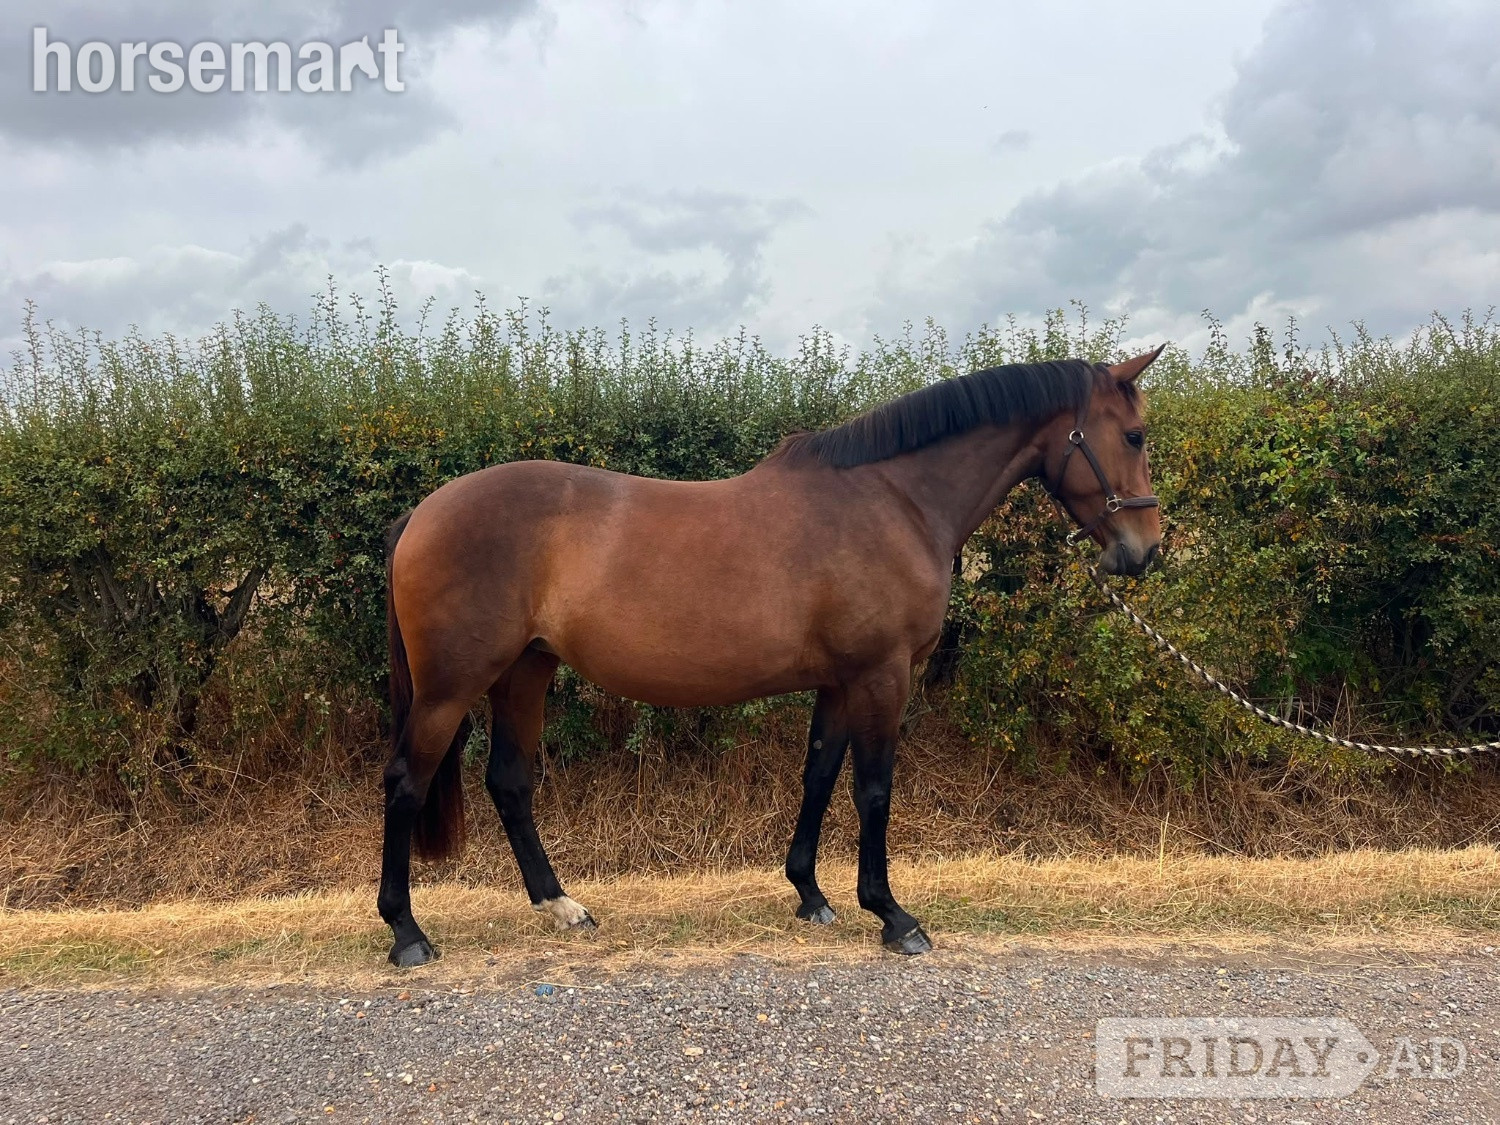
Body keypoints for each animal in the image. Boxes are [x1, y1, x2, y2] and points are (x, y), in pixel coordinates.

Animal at [379, 348, 1164, 967]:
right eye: (1134, 434)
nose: (1145, 551)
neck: (894, 501)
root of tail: (422, 513)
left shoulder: (841, 682)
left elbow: (818, 775)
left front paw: (810, 894)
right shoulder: (882, 675)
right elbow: (873, 789)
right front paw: (893, 916)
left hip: (525, 669)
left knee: (510, 781)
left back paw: (562, 906)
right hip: (451, 688)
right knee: (405, 783)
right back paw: (407, 933)